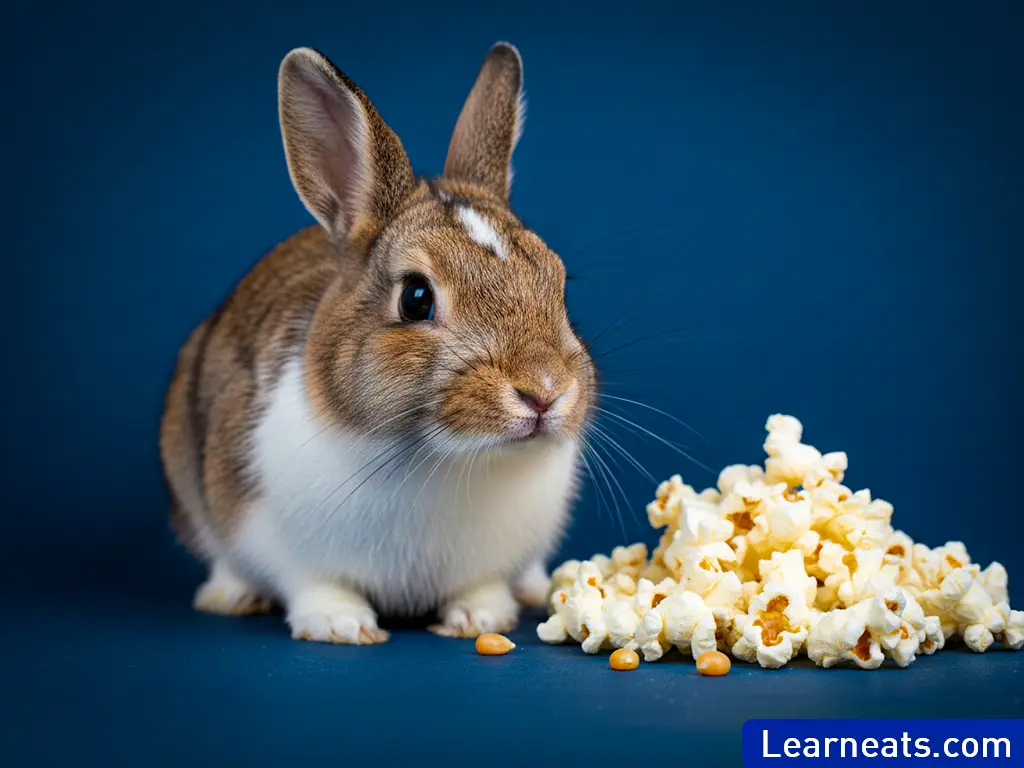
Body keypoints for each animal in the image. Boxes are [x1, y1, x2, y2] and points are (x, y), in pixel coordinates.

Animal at [159, 41, 597, 644]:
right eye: (416, 298)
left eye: (558, 281)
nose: (545, 392)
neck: (442, 456)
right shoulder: (274, 534)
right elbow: (313, 583)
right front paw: (339, 625)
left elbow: (479, 586)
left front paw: (482, 617)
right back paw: (231, 596)